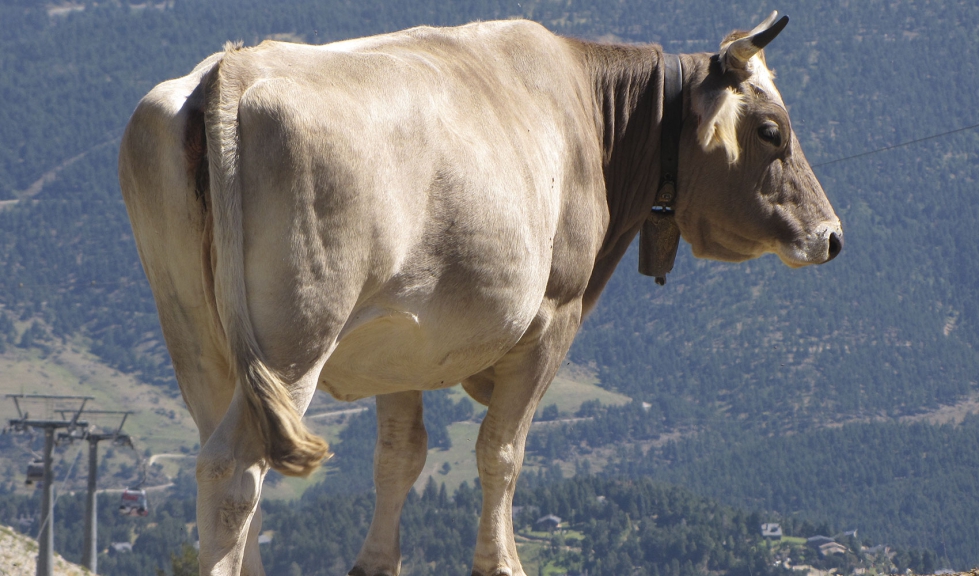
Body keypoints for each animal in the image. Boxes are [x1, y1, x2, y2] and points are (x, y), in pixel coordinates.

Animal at [120, 10, 844, 576]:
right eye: (771, 130)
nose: (831, 235)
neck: (587, 111)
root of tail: (234, 69)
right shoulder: (554, 316)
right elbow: (502, 451)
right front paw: (500, 562)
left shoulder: (399, 341)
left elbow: (400, 456)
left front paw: (376, 562)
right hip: (295, 337)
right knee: (235, 469)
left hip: (197, 340)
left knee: (225, 457)